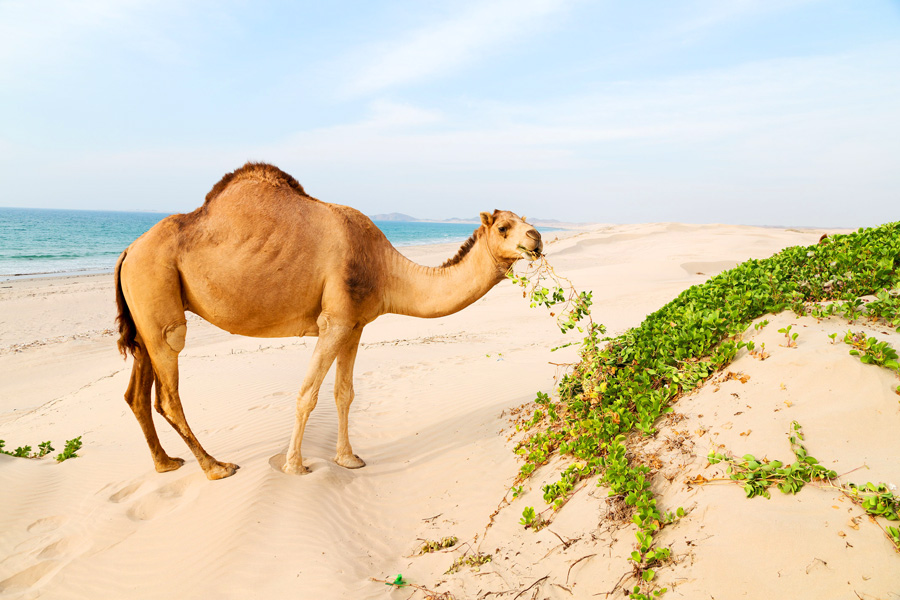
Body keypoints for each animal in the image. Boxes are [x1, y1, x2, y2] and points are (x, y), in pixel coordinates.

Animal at [115, 162, 543, 480]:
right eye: (504, 227)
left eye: (524, 221)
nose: (537, 238)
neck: (383, 267)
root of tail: (128, 250)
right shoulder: (334, 320)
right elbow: (308, 394)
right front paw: (294, 466)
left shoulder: (355, 325)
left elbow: (344, 393)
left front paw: (349, 459)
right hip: (159, 300)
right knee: (168, 392)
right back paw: (216, 467)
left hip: (143, 319)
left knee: (136, 393)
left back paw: (166, 463)